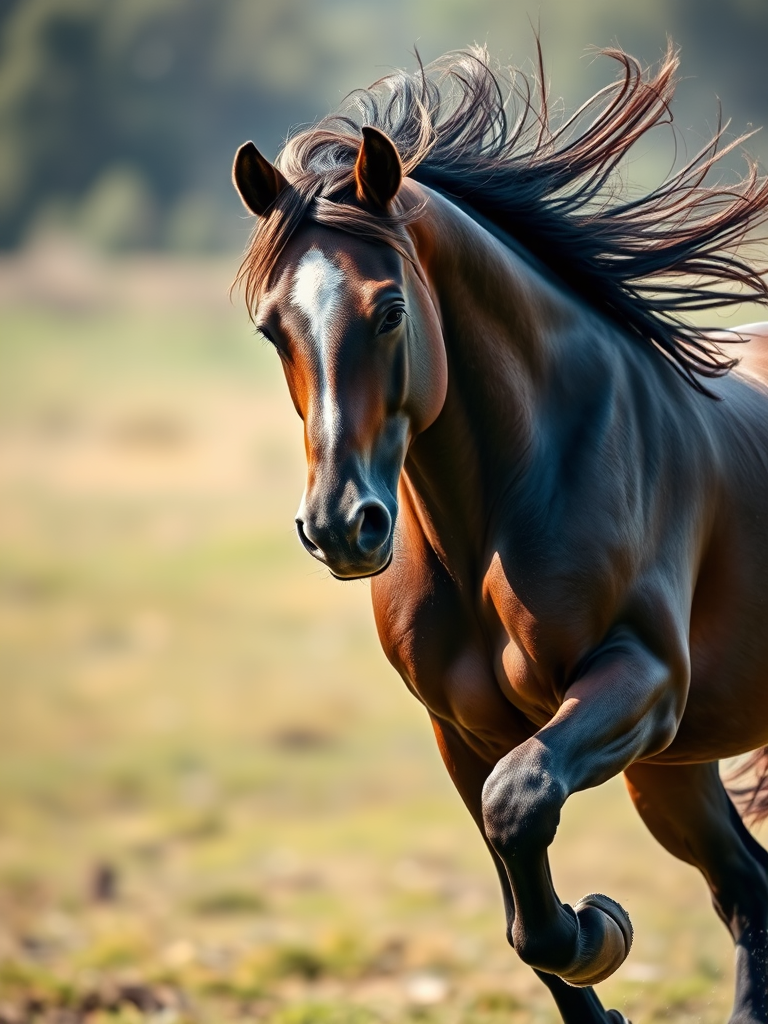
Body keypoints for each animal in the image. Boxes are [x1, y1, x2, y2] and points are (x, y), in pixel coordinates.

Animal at [232, 44, 768, 1024]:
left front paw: (601, 931)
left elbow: (519, 806)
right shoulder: (464, 731)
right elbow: (520, 910)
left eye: (391, 309)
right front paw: (595, 960)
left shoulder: (641, 677)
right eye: (271, 328)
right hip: (673, 770)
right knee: (748, 886)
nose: (340, 527)